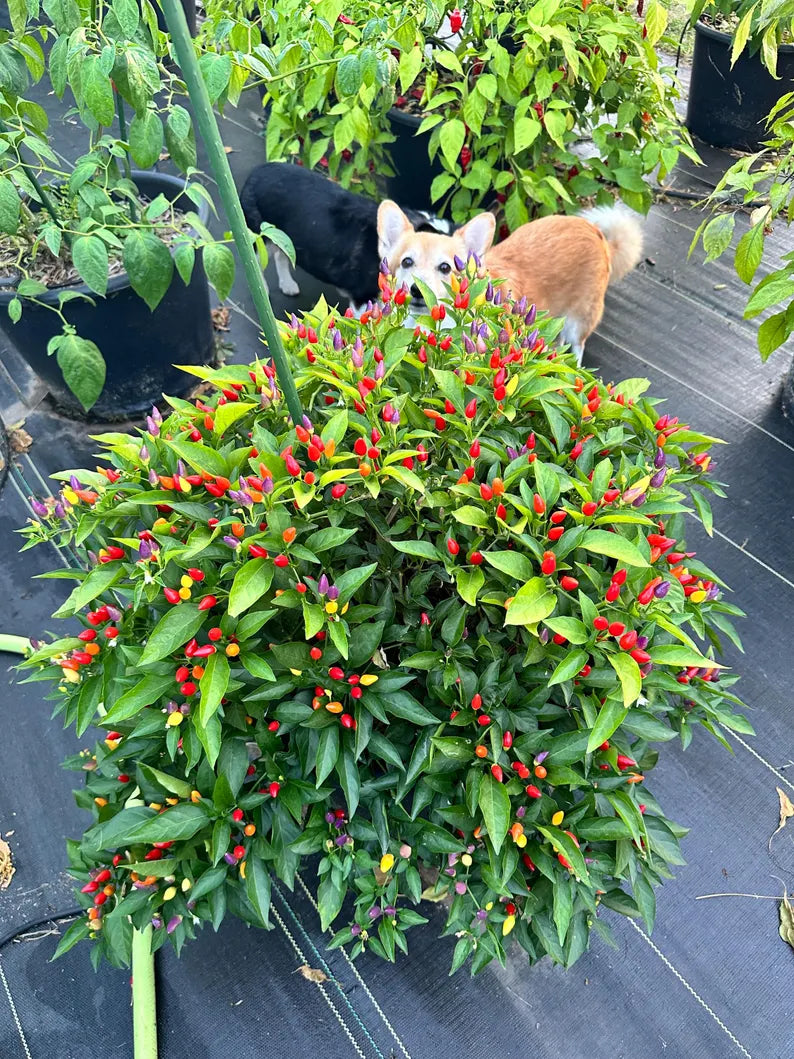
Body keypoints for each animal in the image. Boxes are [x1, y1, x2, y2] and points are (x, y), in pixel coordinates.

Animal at [239, 160, 453, 309]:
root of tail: (255, 172)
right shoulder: (364, 297)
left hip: (284, 237)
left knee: (282, 255)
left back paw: (288, 285)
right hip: (259, 236)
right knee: (255, 260)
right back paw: (262, 290)